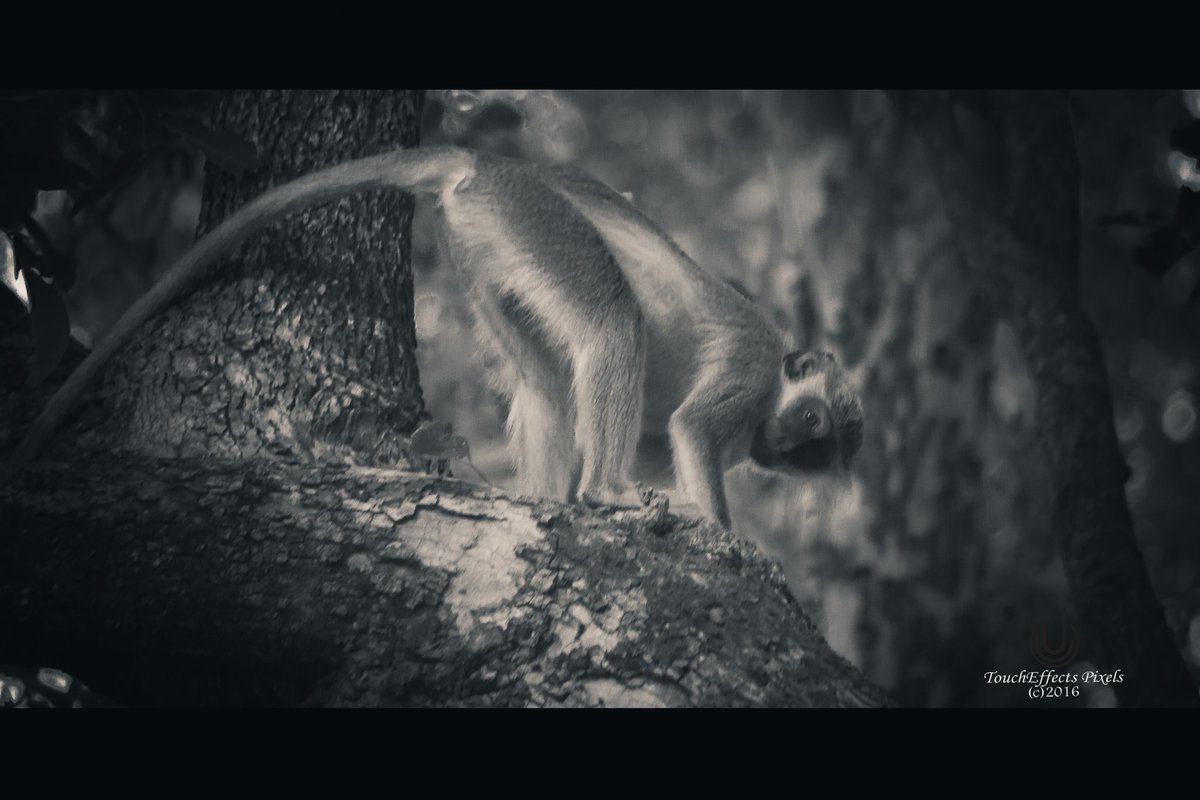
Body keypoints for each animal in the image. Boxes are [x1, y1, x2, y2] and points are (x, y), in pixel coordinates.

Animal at [10, 145, 863, 529]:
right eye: (814, 420)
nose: (804, 443)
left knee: (550, 383)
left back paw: (550, 495)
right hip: (533, 218)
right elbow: (692, 427)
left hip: (494, 248)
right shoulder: (750, 371)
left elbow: (664, 435)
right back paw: (602, 490)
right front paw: (722, 531)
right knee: (612, 322)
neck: (770, 401)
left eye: (823, 447)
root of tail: (487, 163)